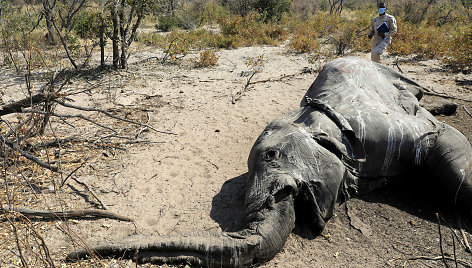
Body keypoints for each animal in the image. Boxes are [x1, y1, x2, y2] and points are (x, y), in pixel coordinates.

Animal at [66, 56, 472, 266]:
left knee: (419, 94)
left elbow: (444, 143)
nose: (73, 255)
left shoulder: (381, 128)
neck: (312, 115)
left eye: (271, 155)